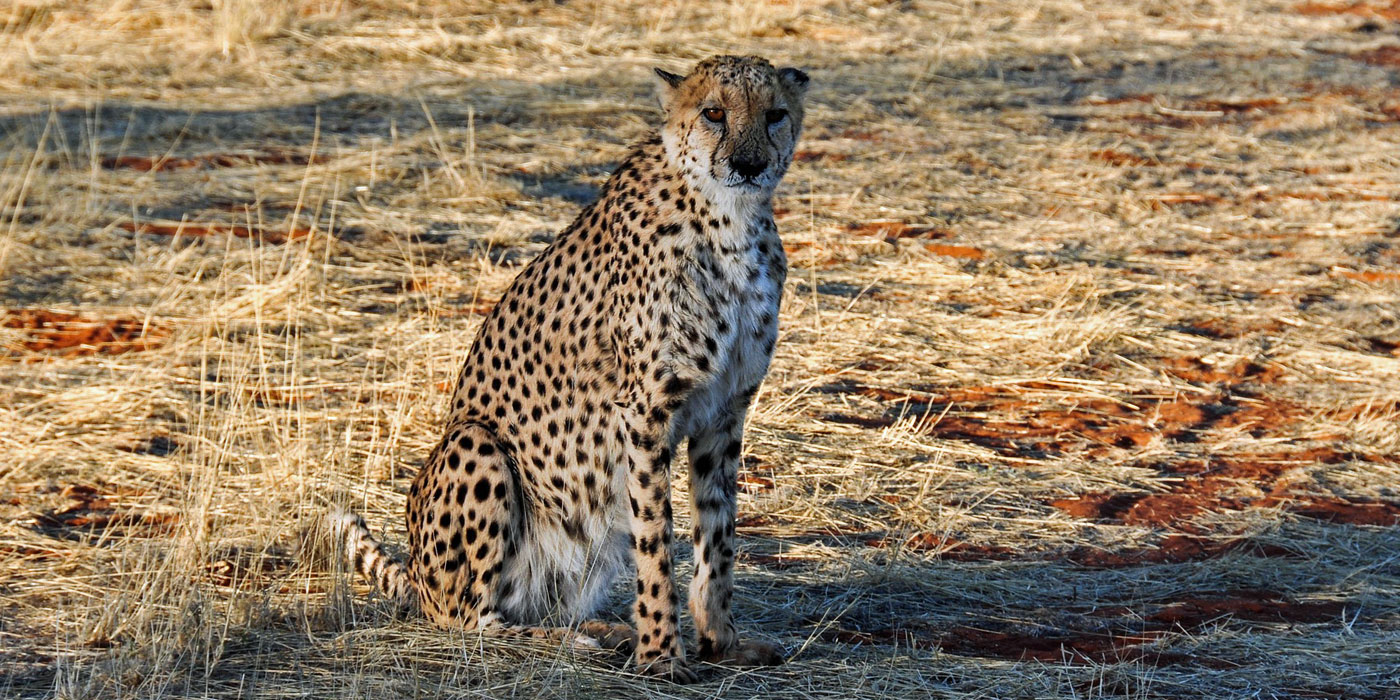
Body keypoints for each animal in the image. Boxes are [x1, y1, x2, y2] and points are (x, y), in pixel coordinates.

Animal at [327, 56, 812, 683]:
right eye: (713, 113)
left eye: (774, 114)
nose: (748, 165)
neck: (729, 223)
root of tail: (415, 576)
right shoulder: (645, 412)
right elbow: (656, 539)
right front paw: (662, 653)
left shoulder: (724, 412)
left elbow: (718, 534)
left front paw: (720, 641)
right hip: (476, 445)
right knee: (468, 619)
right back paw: (574, 642)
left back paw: (602, 629)